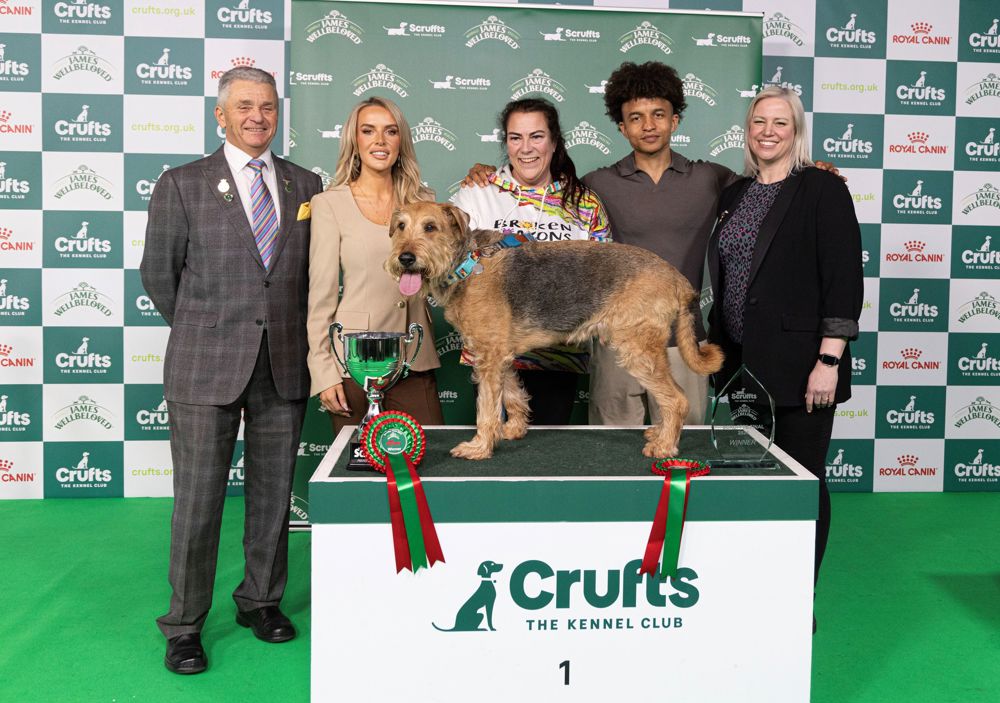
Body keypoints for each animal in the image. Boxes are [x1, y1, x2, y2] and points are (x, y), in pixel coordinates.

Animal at [386, 202, 724, 462]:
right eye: (401, 226)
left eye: (430, 227)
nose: (405, 258)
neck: (468, 263)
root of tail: (678, 279)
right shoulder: (498, 355)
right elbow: (512, 395)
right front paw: (513, 430)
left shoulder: (489, 357)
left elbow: (486, 409)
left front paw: (479, 447)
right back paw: (660, 433)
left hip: (637, 349)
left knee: (676, 400)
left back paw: (664, 447)